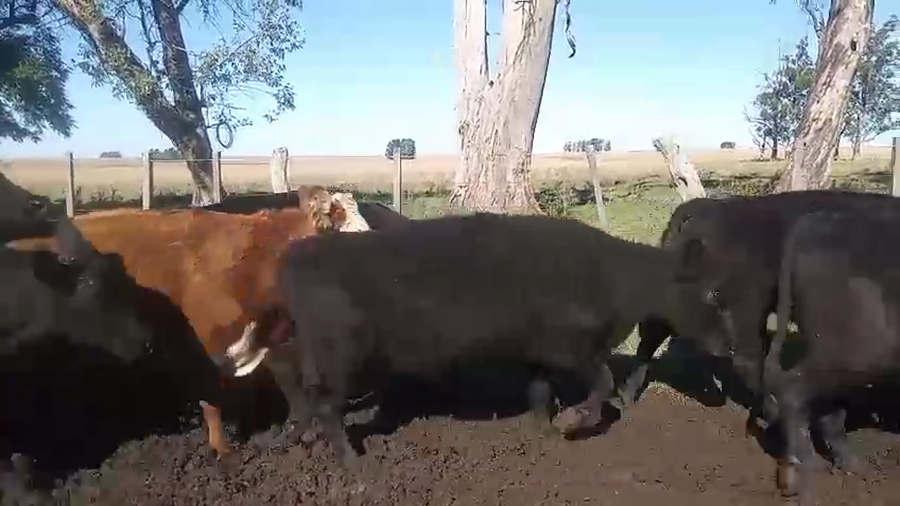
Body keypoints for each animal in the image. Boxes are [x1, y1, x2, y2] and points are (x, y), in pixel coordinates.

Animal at [212, 212, 730, 469]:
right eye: (712, 294)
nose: (727, 346)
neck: (611, 279)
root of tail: (297, 254)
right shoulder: (574, 349)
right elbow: (602, 384)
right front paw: (575, 422)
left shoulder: (539, 353)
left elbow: (540, 392)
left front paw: (546, 432)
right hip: (340, 354)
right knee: (324, 403)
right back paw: (353, 463)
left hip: (302, 347)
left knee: (297, 391)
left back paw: (292, 440)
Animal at [616, 190, 900, 437]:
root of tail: (699, 209)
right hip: (747, 308)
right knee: (749, 360)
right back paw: (773, 416)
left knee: (652, 335)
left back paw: (627, 396)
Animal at [762, 209, 900, 497]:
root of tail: (814, 220)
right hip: (857, 351)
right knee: (794, 390)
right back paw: (808, 465)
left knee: (828, 408)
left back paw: (850, 465)